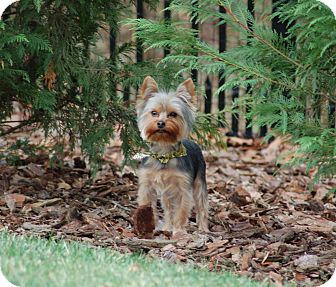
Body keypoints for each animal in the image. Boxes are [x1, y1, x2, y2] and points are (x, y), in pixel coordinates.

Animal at [136, 76, 207, 236]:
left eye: (173, 114)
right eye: (154, 113)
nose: (161, 123)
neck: (164, 154)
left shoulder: (183, 189)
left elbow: (181, 212)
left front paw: (179, 231)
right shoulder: (146, 185)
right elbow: (149, 206)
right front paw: (149, 226)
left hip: (199, 181)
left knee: (201, 205)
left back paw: (203, 228)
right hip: (166, 192)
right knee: (168, 209)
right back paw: (168, 227)